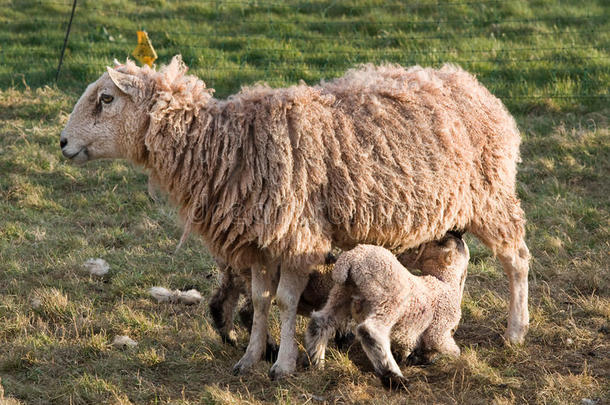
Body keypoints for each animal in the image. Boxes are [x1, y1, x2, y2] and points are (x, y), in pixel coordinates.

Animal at [59, 56, 528, 378]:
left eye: (105, 99)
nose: (62, 142)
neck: (225, 144)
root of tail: (473, 85)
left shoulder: (299, 237)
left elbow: (285, 301)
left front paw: (282, 365)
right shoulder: (259, 240)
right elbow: (261, 300)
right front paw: (250, 357)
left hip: (492, 196)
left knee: (516, 260)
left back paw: (515, 330)